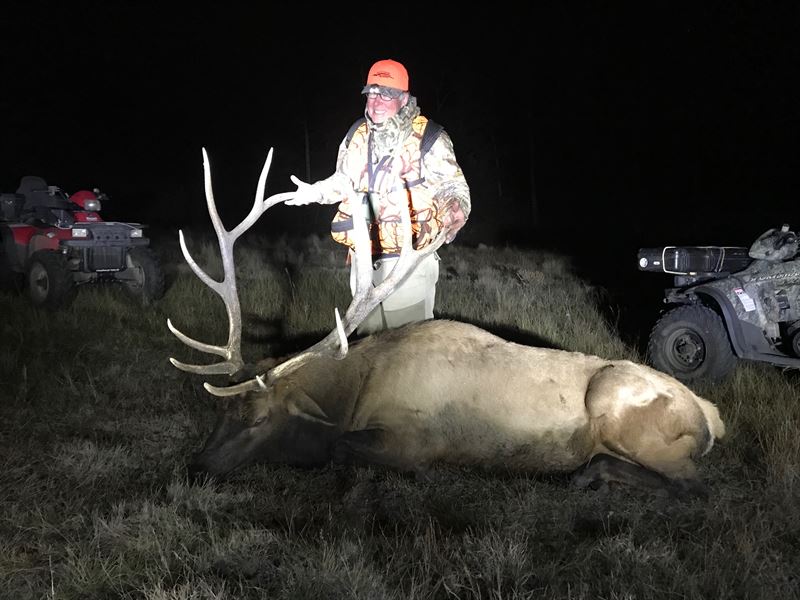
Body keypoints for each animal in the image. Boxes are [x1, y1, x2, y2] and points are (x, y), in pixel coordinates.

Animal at [169, 149, 724, 496]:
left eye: (259, 419)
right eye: (220, 413)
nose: (195, 468)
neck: (352, 394)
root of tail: (711, 415)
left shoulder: (416, 439)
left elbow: (343, 451)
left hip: (620, 405)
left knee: (695, 486)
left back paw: (589, 475)